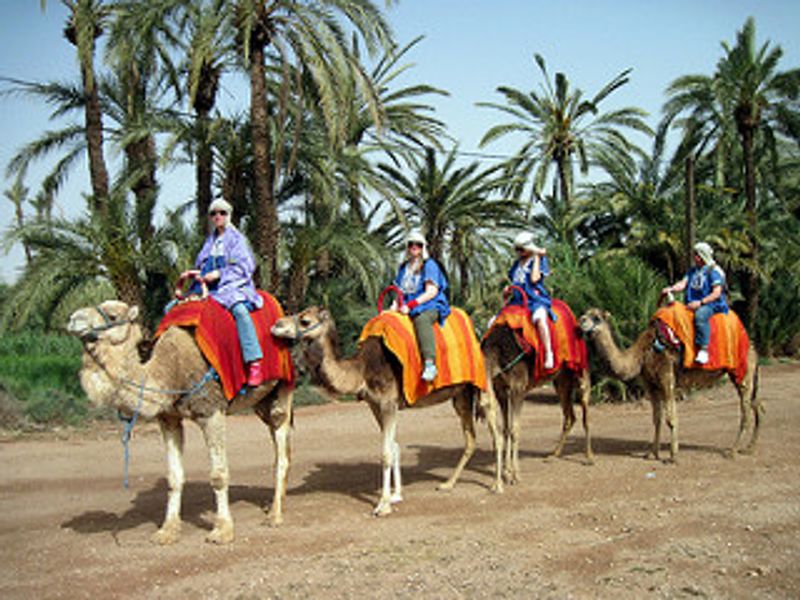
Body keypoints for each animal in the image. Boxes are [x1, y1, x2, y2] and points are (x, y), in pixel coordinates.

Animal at [67, 300, 294, 544]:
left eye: (112, 315)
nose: (73, 319)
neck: (169, 370)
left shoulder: (211, 410)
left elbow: (218, 475)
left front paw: (222, 530)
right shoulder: (168, 418)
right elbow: (174, 477)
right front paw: (167, 531)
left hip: (284, 387)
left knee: (281, 445)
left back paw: (274, 516)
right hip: (262, 401)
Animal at [272, 304, 504, 516]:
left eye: (305, 321)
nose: (277, 325)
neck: (362, 370)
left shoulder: (388, 403)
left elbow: (385, 453)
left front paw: (383, 505)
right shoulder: (375, 405)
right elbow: (393, 447)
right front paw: (396, 495)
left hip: (482, 384)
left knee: (496, 431)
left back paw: (498, 485)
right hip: (461, 395)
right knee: (470, 438)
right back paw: (448, 484)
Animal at [482, 318, 592, 482]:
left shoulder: (518, 388)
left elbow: (514, 429)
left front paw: (515, 474)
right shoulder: (500, 390)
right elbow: (507, 428)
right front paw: (507, 471)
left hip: (580, 372)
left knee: (585, 414)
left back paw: (589, 457)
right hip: (561, 381)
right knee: (570, 416)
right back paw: (553, 455)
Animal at [580, 308, 760, 462]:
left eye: (597, 317)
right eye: (586, 314)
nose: (582, 320)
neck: (642, 354)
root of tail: (752, 346)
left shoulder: (667, 378)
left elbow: (671, 419)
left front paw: (673, 455)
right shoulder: (651, 386)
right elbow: (657, 419)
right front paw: (652, 453)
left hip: (742, 372)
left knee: (746, 412)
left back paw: (733, 451)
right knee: (756, 404)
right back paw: (749, 448)